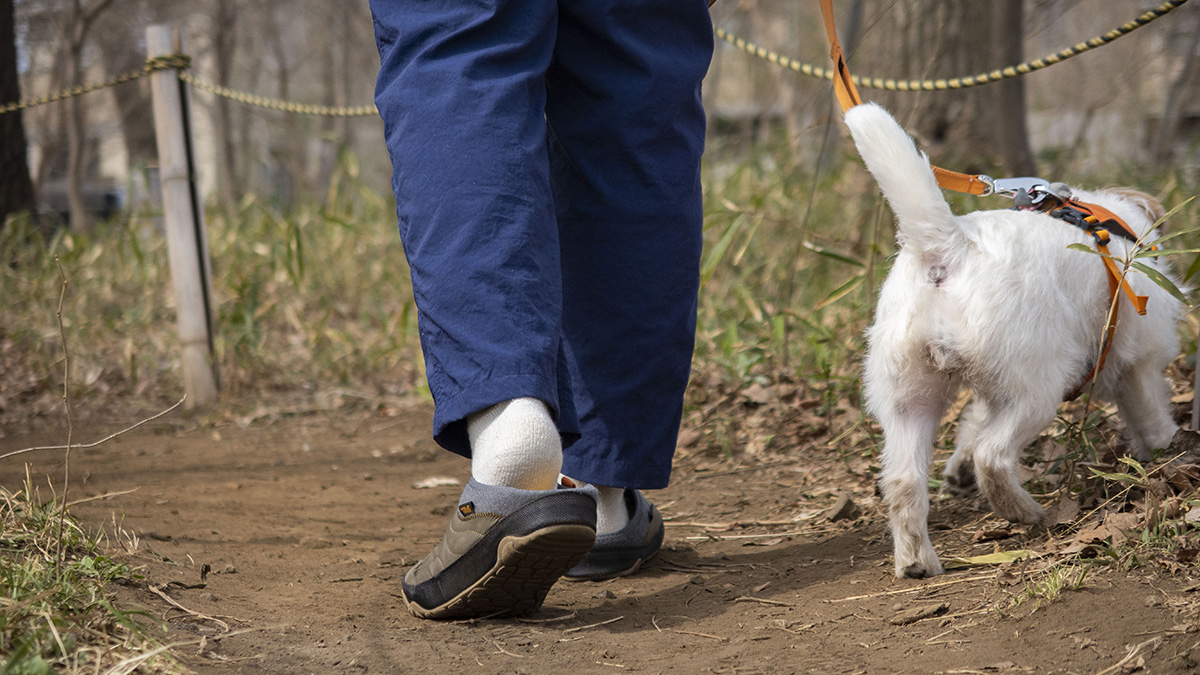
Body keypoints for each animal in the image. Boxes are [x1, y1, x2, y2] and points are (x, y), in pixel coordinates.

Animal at [844, 102, 1180, 576]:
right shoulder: (1139, 365)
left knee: (904, 481)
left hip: (910, 400)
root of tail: (948, 245)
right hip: (1036, 391)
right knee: (993, 456)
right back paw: (1025, 511)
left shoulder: (988, 393)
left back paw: (917, 562)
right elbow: (1150, 415)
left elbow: (970, 425)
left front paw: (959, 468)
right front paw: (1170, 449)